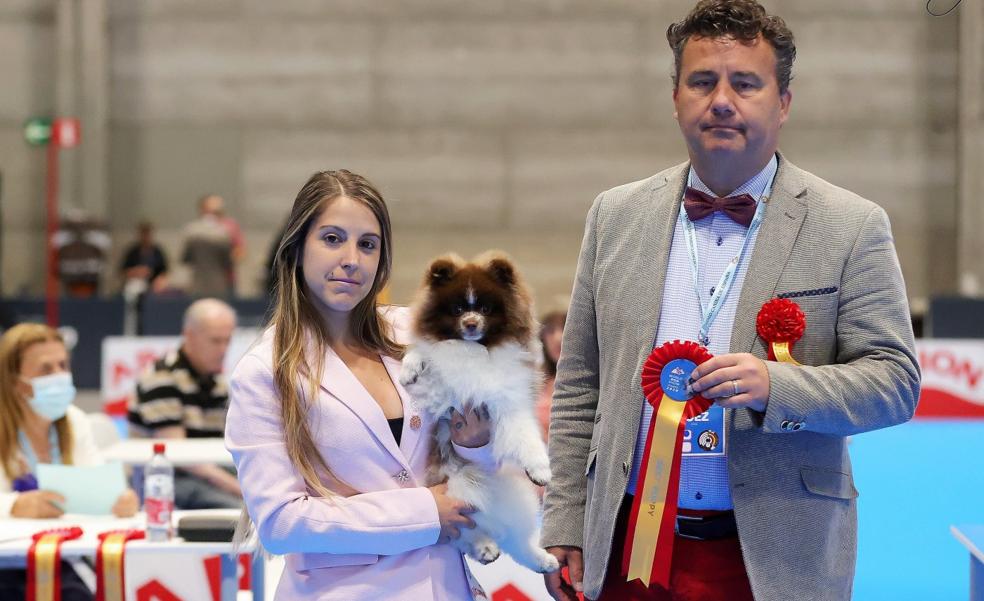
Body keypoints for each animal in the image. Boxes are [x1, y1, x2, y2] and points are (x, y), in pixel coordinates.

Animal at [396, 251, 556, 576]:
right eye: (457, 309)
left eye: (484, 308)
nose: (470, 323)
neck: (474, 349)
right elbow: (422, 350)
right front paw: (409, 369)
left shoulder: (509, 400)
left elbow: (527, 437)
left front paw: (540, 470)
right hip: (456, 488)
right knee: (462, 530)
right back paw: (485, 546)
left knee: (517, 542)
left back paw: (540, 560)